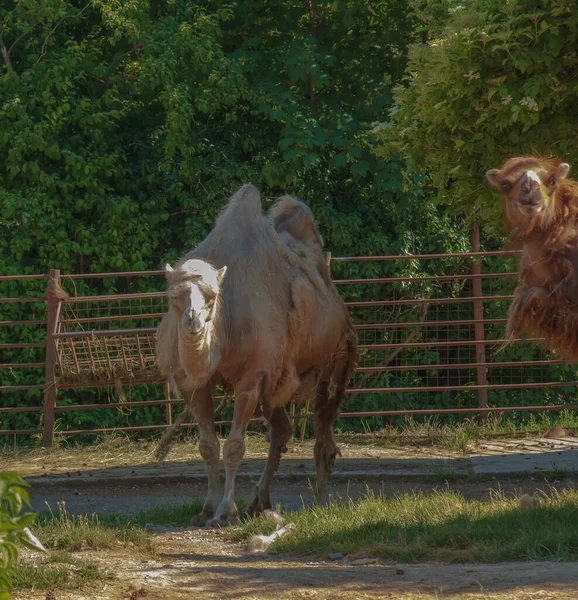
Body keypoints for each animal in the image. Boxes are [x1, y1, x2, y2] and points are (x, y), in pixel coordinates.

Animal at [155, 183, 358, 524]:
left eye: (212, 296)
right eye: (173, 296)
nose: (193, 320)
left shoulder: (253, 377)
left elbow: (234, 447)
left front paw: (225, 512)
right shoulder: (192, 384)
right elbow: (207, 446)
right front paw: (206, 509)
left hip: (334, 362)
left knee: (323, 432)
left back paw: (317, 502)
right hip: (277, 380)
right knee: (282, 429)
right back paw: (258, 502)